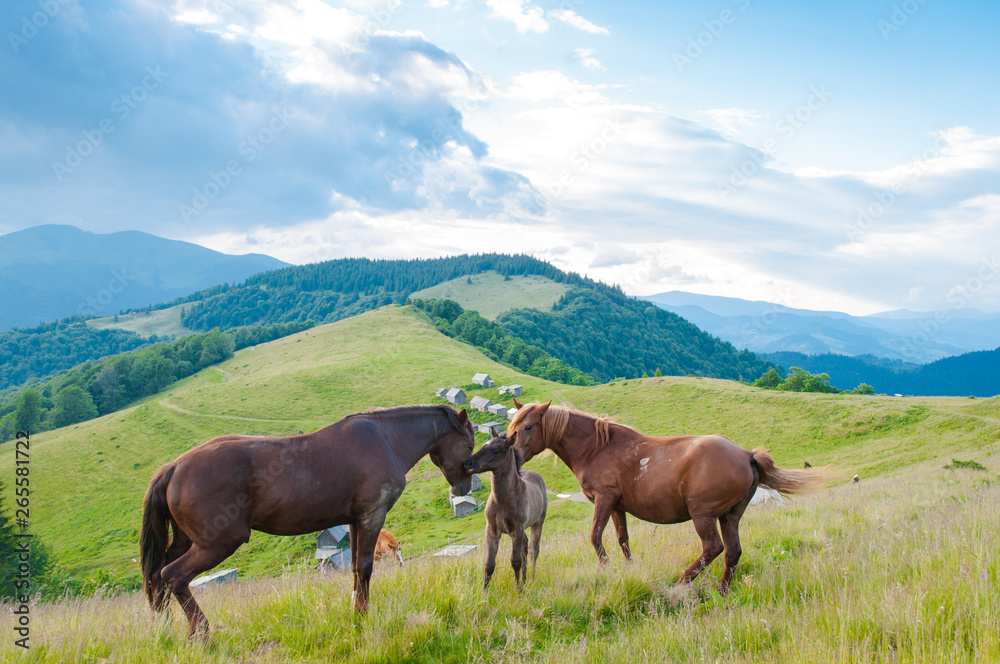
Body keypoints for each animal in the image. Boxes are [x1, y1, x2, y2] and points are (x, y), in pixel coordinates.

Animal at [138, 402, 476, 636]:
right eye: (470, 445)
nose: (464, 487)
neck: (385, 439)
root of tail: (175, 467)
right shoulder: (372, 515)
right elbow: (366, 567)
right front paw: (363, 616)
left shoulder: (354, 520)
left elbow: (355, 568)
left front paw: (355, 610)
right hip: (216, 544)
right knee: (173, 576)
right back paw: (203, 633)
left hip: (185, 540)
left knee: (157, 577)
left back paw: (164, 631)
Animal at [462, 434, 548, 588]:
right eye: (483, 445)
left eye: (496, 450)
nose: (468, 463)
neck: (502, 501)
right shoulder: (491, 529)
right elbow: (489, 564)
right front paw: (484, 591)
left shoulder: (516, 529)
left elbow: (515, 561)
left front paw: (519, 589)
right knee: (525, 545)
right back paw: (525, 579)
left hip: (538, 522)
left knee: (534, 549)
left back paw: (531, 579)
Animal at [512, 400, 824, 592]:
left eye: (528, 427)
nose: (512, 457)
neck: (597, 448)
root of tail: (747, 454)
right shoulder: (617, 506)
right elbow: (623, 539)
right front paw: (629, 569)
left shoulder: (604, 500)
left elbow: (595, 537)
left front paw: (607, 568)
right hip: (730, 516)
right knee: (733, 551)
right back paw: (722, 591)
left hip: (703, 515)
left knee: (713, 548)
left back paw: (681, 582)